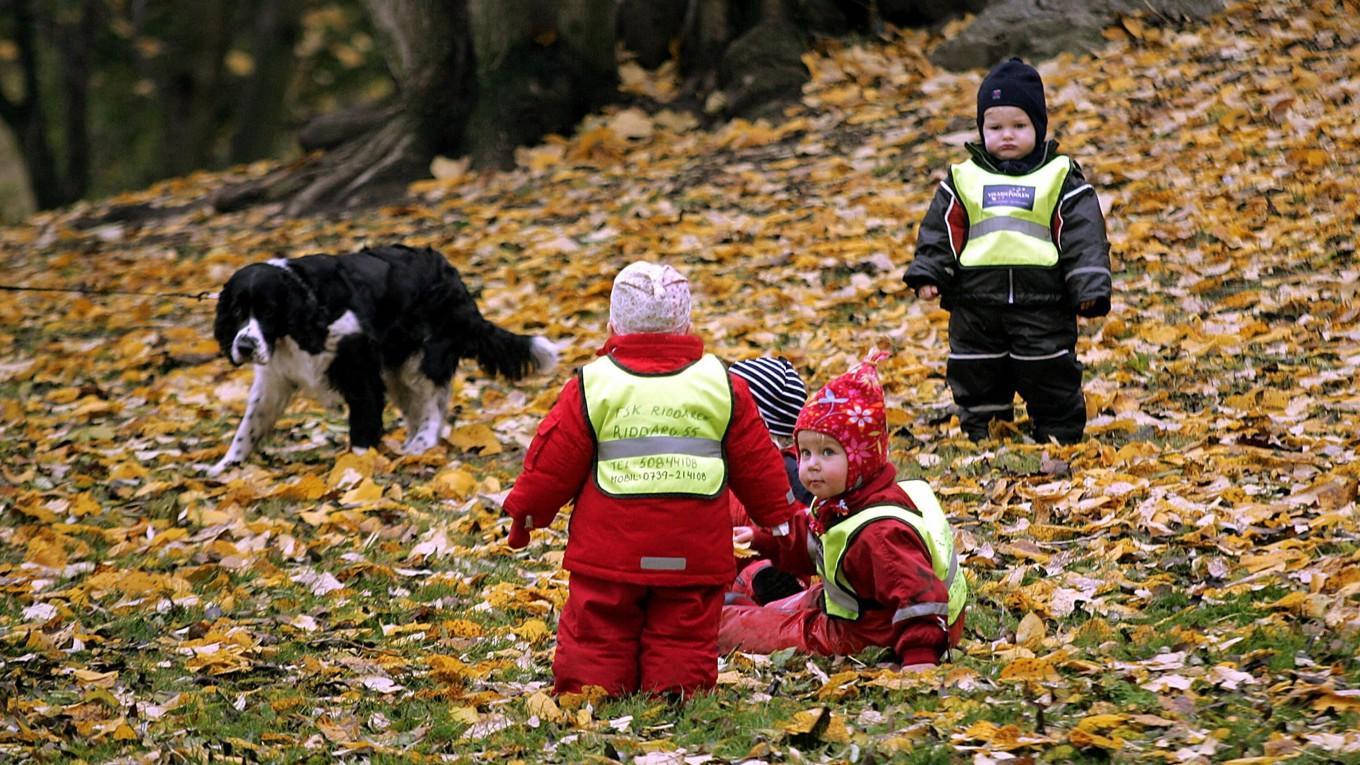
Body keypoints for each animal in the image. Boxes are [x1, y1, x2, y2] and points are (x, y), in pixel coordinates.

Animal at [208, 242, 557, 470]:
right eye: (237, 311)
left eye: (268, 311)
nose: (245, 346)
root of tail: (451, 273)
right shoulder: (274, 379)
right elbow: (250, 424)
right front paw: (226, 467)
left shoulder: (359, 368)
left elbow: (364, 423)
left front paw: (357, 468)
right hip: (397, 367)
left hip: (425, 354)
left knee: (434, 402)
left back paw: (421, 444)